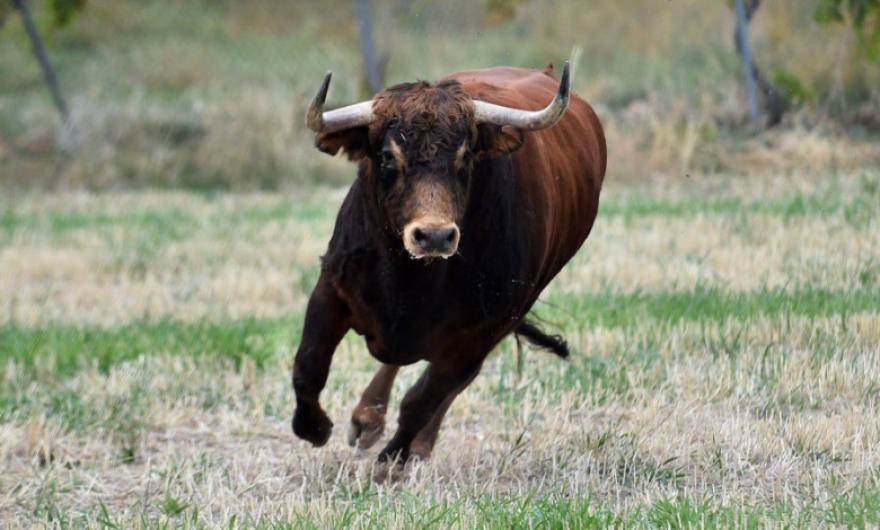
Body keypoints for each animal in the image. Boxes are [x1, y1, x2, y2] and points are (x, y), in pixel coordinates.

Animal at [292, 62, 608, 460]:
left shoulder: (480, 334)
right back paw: (367, 419)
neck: (408, 279)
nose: (434, 236)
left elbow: (423, 400)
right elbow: (309, 368)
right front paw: (315, 428)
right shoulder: (331, 289)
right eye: (388, 156)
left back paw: (417, 442)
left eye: (465, 156)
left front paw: (393, 460)